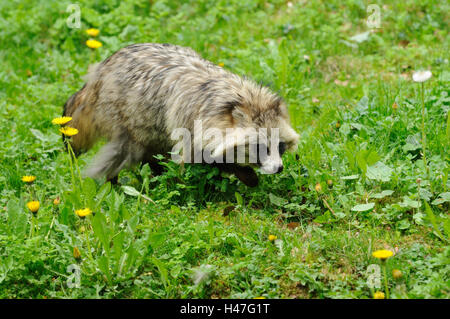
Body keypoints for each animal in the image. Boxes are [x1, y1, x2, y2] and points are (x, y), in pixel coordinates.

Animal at [61, 42, 298, 188]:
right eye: (260, 147)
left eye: (280, 146)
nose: (279, 168)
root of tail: (99, 72)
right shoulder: (189, 124)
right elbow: (200, 158)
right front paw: (240, 172)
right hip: (125, 116)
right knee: (125, 151)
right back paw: (115, 183)